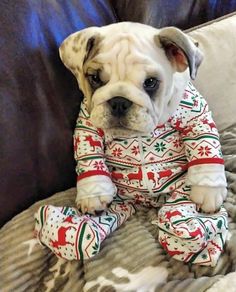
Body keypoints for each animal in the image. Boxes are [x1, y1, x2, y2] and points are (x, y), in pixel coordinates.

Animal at [59, 21, 227, 214]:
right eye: (95, 78)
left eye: (150, 82)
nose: (119, 101)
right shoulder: (87, 125)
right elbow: (90, 157)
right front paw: (92, 195)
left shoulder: (195, 117)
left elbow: (204, 147)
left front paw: (208, 192)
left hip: (180, 193)